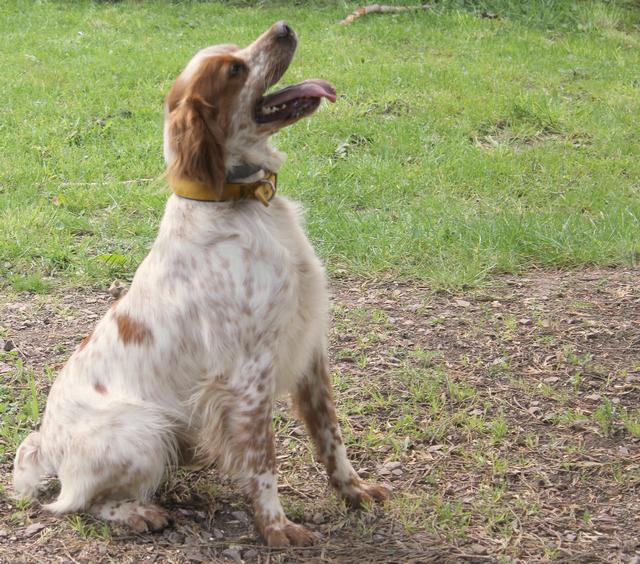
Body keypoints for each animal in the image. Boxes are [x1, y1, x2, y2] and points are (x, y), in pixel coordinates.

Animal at [12, 22, 388, 548]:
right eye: (234, 70)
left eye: (236, 51)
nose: (284, 28)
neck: (242, 204)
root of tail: (47, 444)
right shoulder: (249, 373)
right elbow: (264, 462)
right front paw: (276, 529)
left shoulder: (310, 349)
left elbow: (330, 437)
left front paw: (354, 492)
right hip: (147, 429)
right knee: (76, 502)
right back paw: (138, 513)